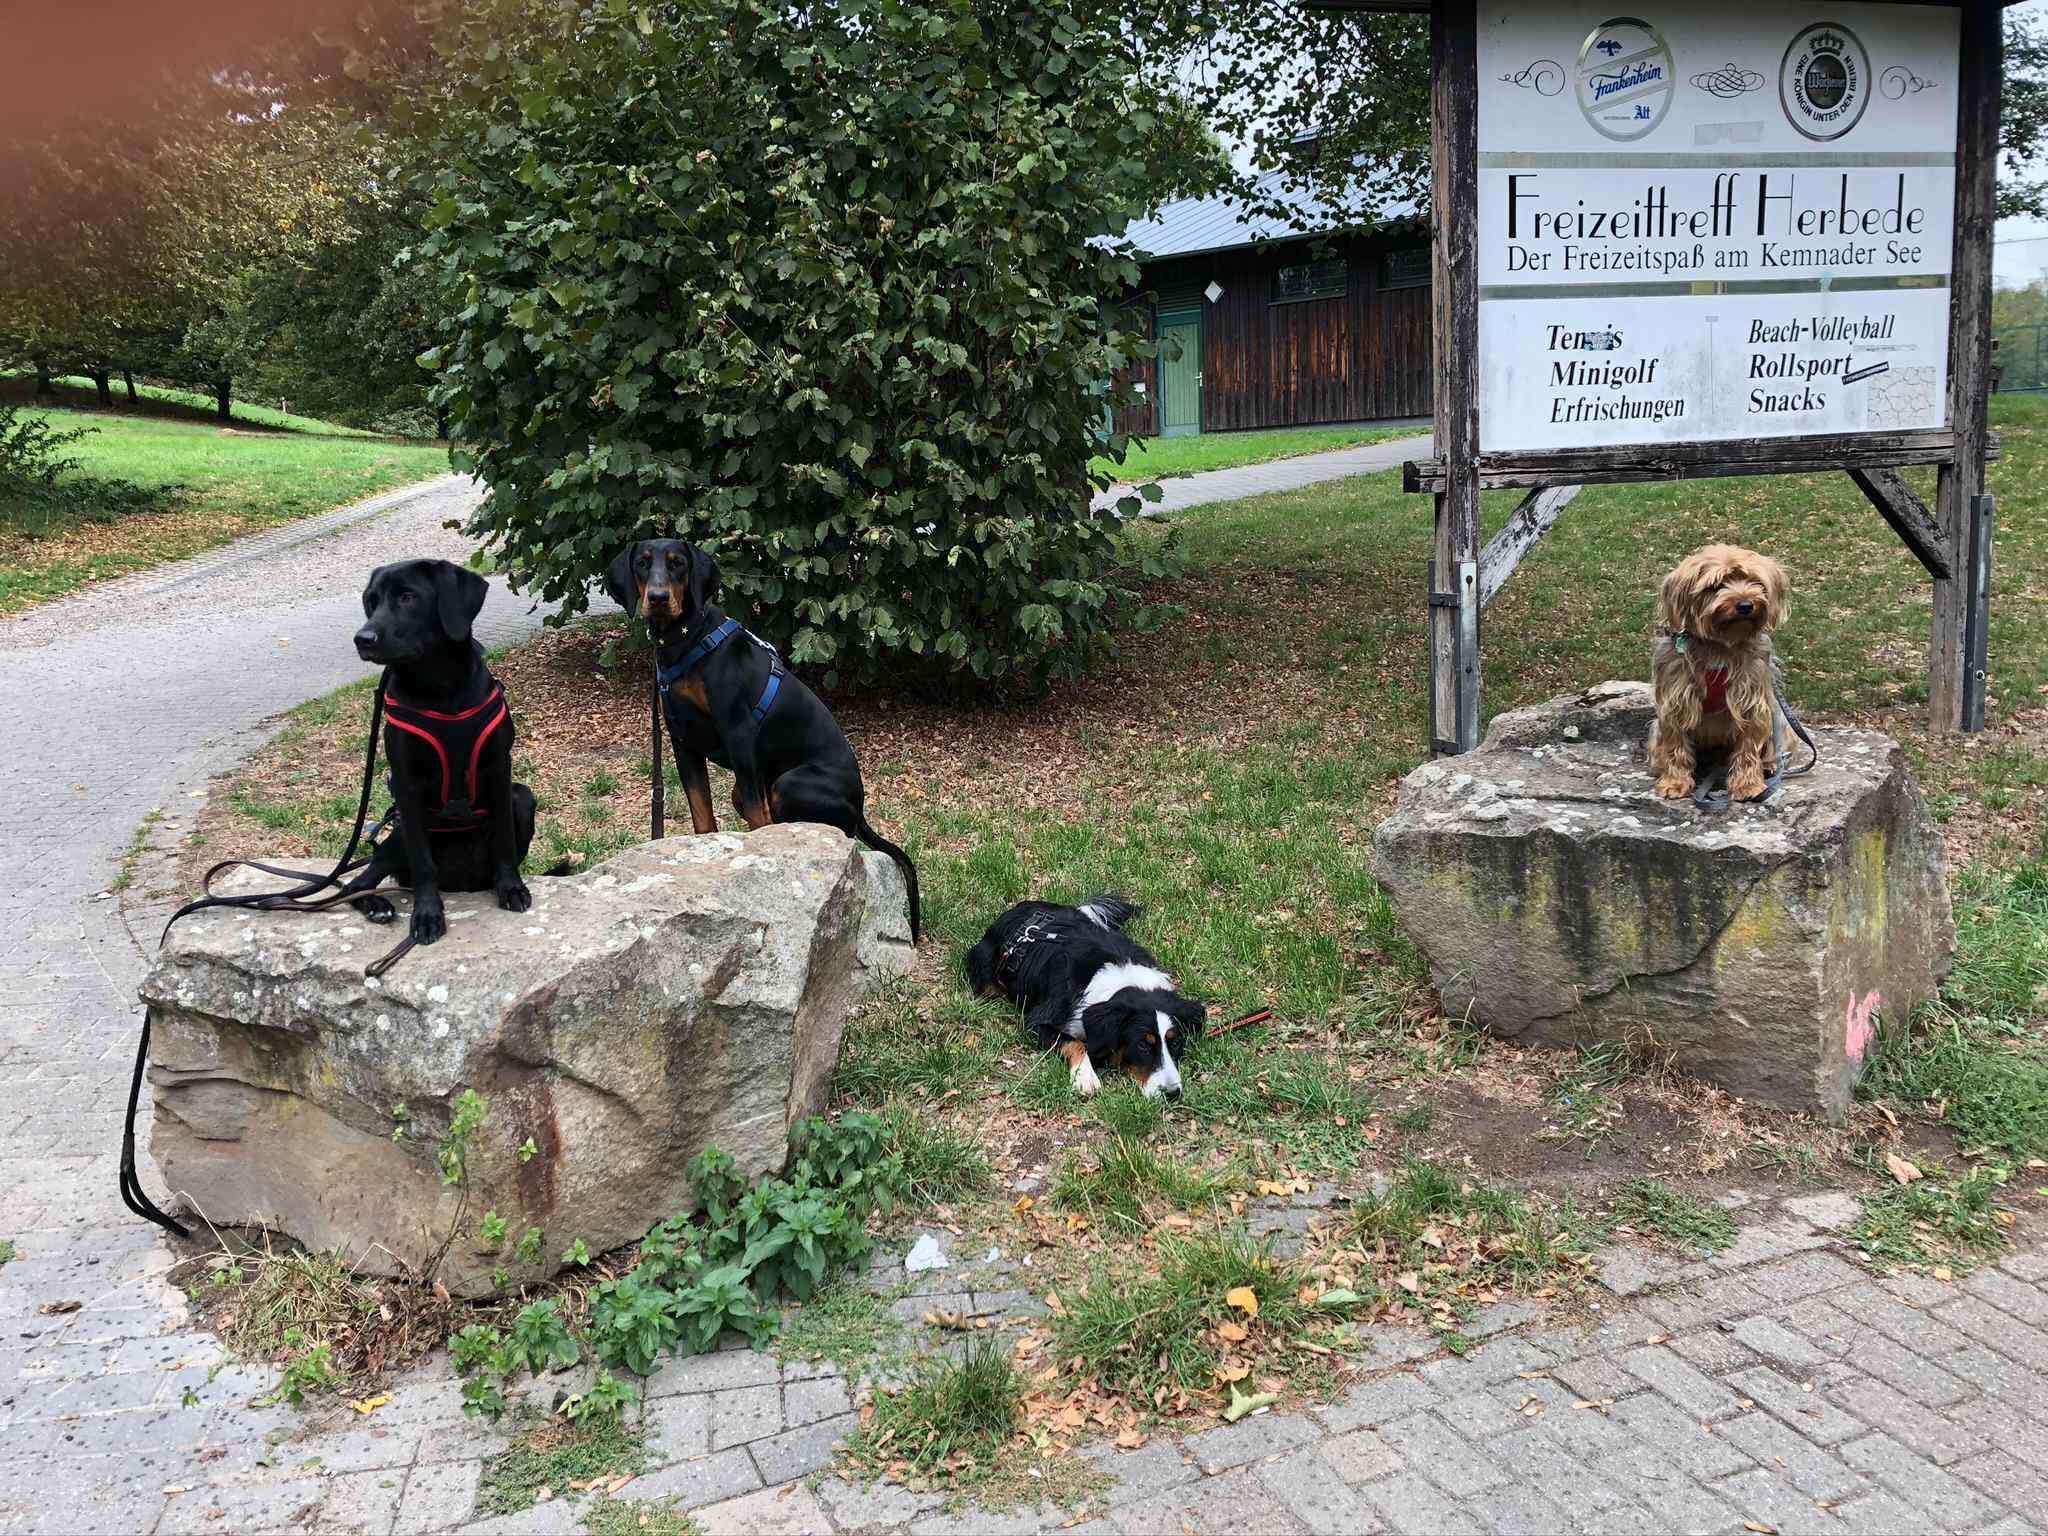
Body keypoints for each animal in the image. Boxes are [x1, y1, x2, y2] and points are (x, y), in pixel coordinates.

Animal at [962, 897, 1196, 1097]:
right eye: (1143, 1045)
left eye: (1176, 1042)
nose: (1172, 1094)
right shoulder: (1037, 1022)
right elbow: (1074, 1042)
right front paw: (1085, 1077)